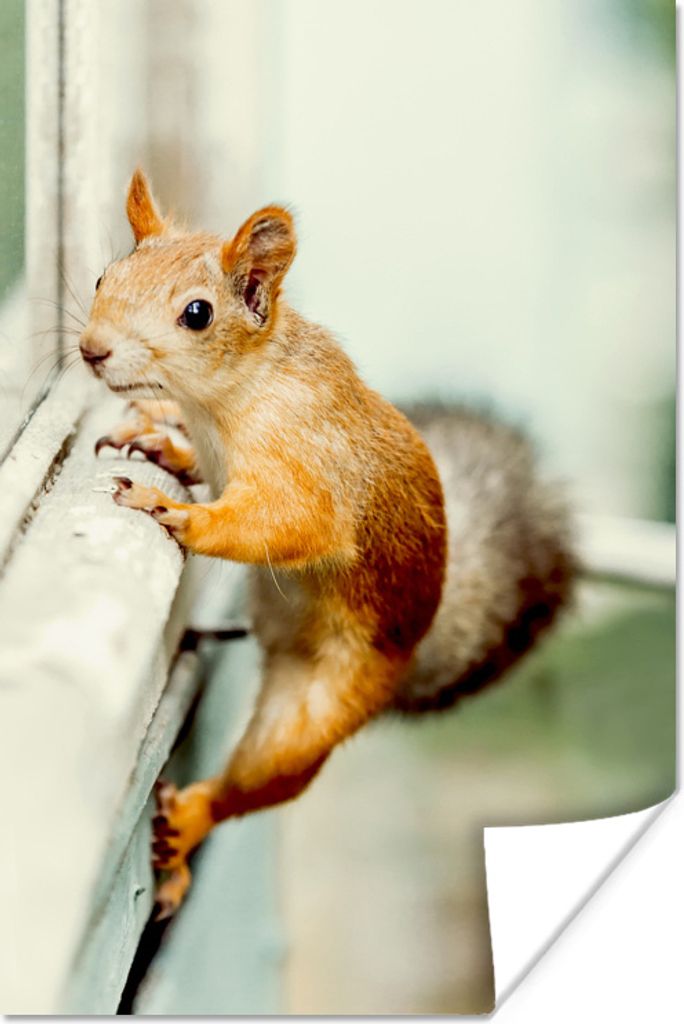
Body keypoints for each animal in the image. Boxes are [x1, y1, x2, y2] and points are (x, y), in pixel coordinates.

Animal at [79, 170, 577, 917]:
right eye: (105, 275)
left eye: (197, 314)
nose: (93, 349)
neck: (228, 399)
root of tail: (413, 644)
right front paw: (158, 440)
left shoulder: (311, 471)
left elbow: (287, 526)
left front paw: (168, 508)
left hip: (314, 712)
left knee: (251, 784)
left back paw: (191, 821)